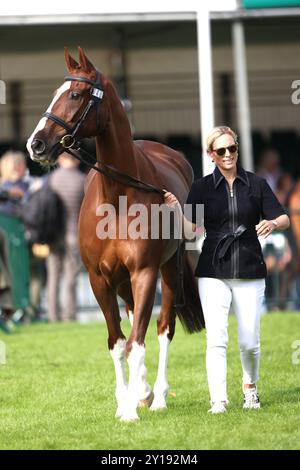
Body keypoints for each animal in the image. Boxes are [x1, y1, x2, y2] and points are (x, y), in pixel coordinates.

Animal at [26, 47, 204, 422]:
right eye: (55, 93)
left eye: (76, 94)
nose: (36, 145)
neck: (118, 197)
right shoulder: (99, 279)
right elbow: (117, 342)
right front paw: (126, 402)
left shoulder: (144, 273)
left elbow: (138, 340)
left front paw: (137, 403)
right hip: (122, 283)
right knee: (135, 321)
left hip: (168, 271)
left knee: (163, 327)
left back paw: (158, 395)